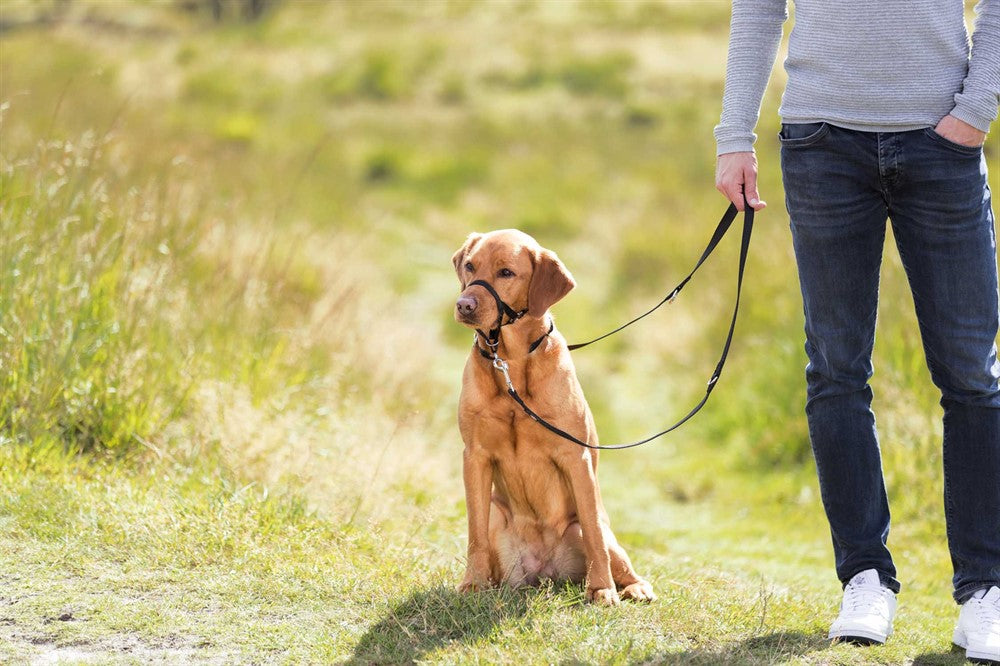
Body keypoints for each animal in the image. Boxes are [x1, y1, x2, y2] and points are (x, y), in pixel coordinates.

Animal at [454, 231, 656, 604]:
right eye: (471, 266)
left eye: (506, 272)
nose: (464, 305)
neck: (511, 362)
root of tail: (546, 573)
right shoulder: (475, 456)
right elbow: (474, 532)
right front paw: (472, 583)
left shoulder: (575, 457)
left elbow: (592, 534)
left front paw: (602, 589)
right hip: (497, 517)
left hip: (598, 530)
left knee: (611, 549)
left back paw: (633, 586)